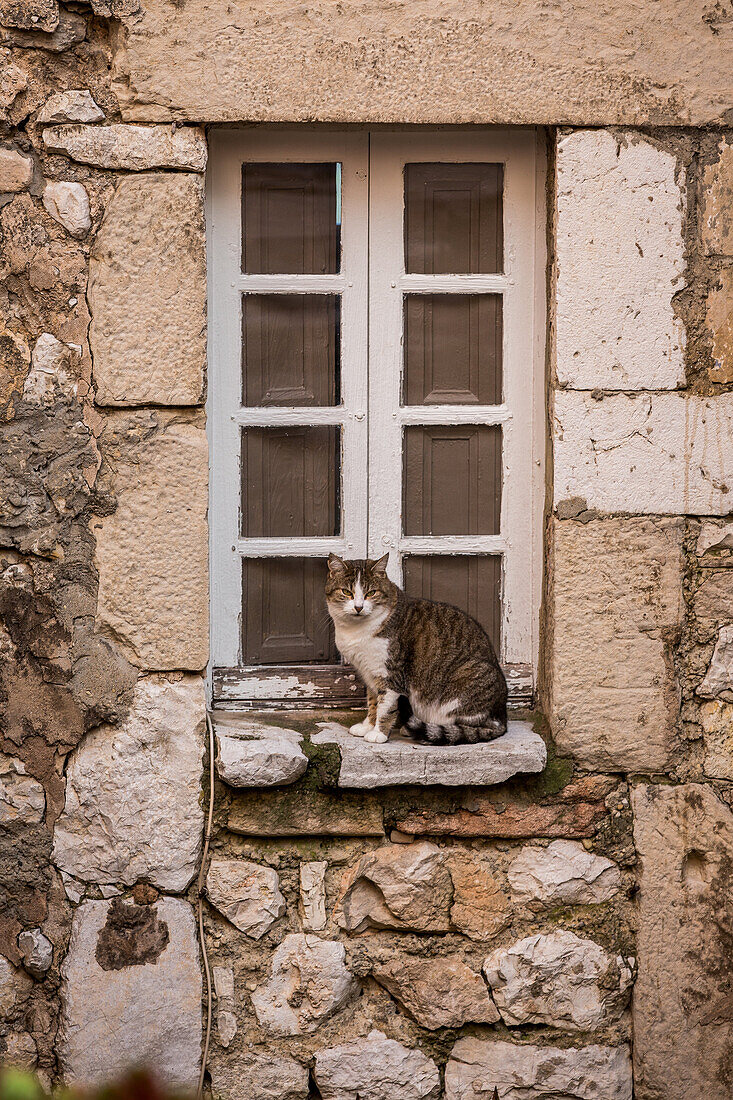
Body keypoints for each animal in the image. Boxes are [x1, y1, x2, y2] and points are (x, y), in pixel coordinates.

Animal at [323, 554, 506, 743]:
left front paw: (379, 733)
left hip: (468, 679)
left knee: (466, 727)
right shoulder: (369, 672)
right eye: (346, 592)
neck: (356, 630)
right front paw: (367, 726)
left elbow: (385, 707)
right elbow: (373, 701)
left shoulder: (390, 674)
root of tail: (501, 718)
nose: (358, 607)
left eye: (371, 593)